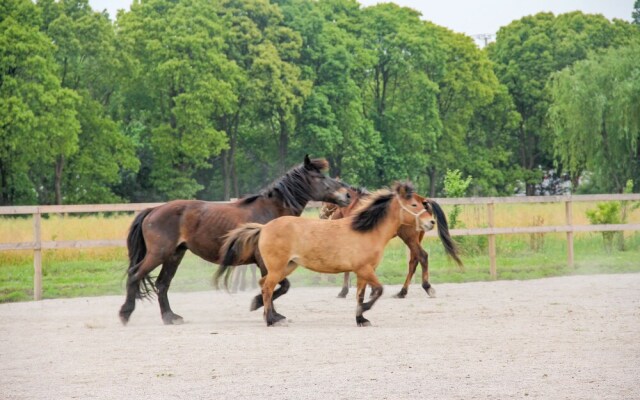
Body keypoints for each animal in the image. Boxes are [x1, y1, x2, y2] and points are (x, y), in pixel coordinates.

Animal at [218, 183, 438, 326]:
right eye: (414, 205)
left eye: (422, 203)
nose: (431, 222)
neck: (366, 230)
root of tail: (264, 228)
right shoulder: (365, 269)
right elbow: (378, 291)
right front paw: (364, 311)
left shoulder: (363, 272)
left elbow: (360, 295)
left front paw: (360, 318)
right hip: (278, 268)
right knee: (267, 288)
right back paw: (271, 320)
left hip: (287, 266)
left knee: (265, 285)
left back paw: (266, 311)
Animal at [318, 186, 460, 298]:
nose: (321, 215)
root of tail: (423, 200)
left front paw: (344, 291)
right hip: (417, 238)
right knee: (414, 261)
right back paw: (402, 292)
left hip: (409, 238)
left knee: (422, 256)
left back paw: (427, 287)